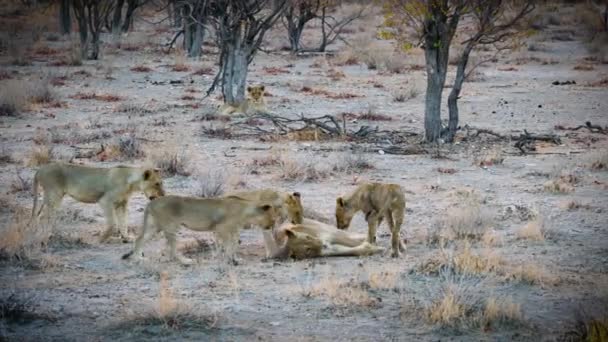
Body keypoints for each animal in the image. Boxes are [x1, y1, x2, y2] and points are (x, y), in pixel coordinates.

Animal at [30, 162, 165, 242]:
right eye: (157, 184)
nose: (164, 195)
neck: (131, 182)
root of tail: (40, 169)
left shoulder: (122, 203)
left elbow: (123, 222)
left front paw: (127, 237)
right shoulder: (106, 201)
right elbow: (113, 223)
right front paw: (101, 239)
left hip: (49, 196)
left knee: (39, 214)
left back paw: (38, 233)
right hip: (54, 195)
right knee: (47, 216)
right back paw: (47, 235)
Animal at [123, 195, 276, 264]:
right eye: (273, 219)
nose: (271, 226)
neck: (247, 212)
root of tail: (152, 202)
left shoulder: (233, 231)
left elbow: (233, 245)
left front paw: (235, 258)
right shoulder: (221, 229)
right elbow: (228, 245)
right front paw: (229, 259)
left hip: (154, 226)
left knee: (139, 239)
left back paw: (138, 258)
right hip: (171, 227)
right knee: (172, 249)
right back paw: (185, 261)